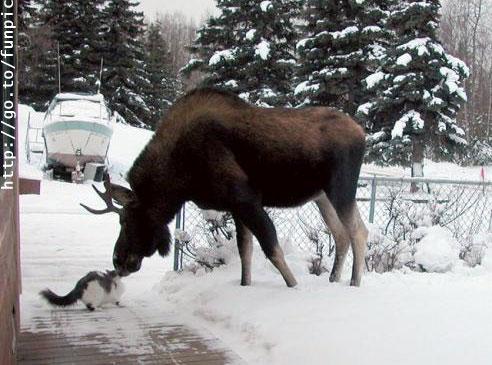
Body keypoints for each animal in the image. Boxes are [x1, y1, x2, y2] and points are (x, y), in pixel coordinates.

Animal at [81, 88, 366, 288]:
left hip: (340, 189)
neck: (180, 178)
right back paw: (333, 279)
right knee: (341, 234)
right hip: (322, 197)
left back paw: (354, 283)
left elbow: (271, 247)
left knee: (358, 232)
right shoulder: (236, 208)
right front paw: (245, 284)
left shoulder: (245, 198)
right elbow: (245, 252)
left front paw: (294, 286)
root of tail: (362, 133)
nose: (118, 260)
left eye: (126, 221)